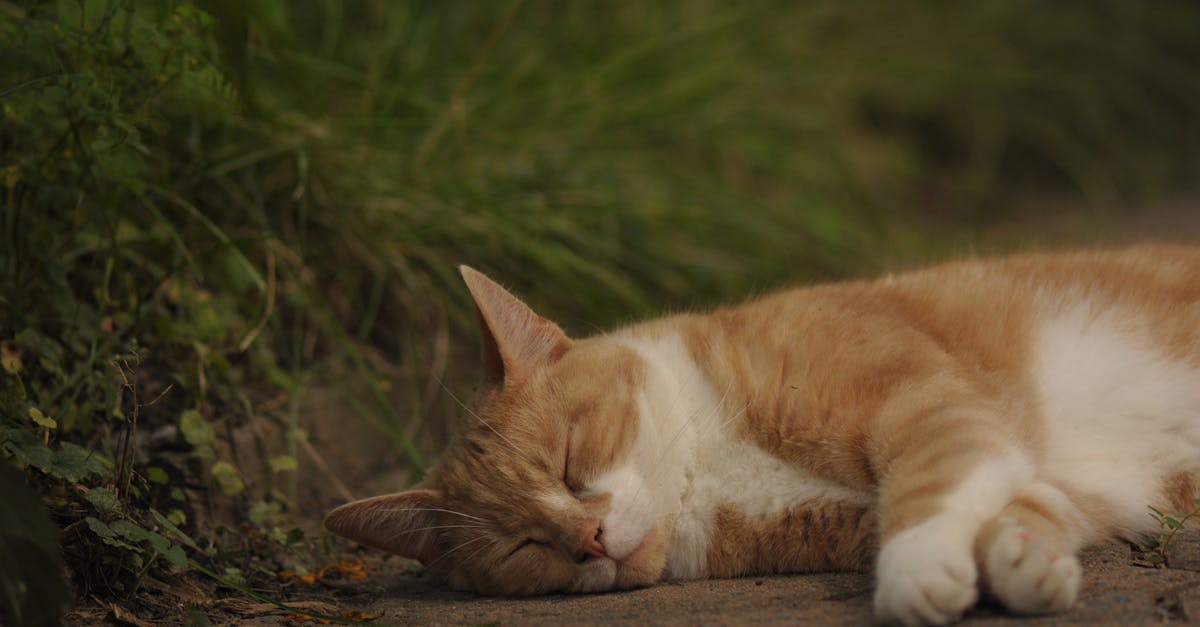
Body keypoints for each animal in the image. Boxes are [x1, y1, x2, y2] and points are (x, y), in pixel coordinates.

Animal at [326, 245, 1200, 624]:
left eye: (571, 461)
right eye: (522, 546)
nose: (590, 541)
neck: (707, 463)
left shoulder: (931, 404)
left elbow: (929, 487)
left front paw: (918, 575)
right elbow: (1028, 501)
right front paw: (1025, 559)